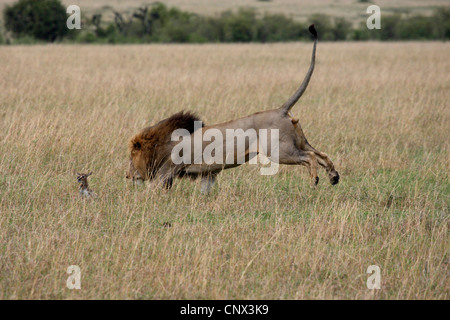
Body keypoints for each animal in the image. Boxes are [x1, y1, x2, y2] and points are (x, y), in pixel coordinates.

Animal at [125, 25, 338, 194]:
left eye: (131, 158)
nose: (127, 176)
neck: (161, 145)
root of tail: (281, 109)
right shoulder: (208, 173)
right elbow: (206, 190)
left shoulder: (166, 171)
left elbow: (152, 191)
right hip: (299, 142)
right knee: (322, 154)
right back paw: (334, 176)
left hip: (279, 150)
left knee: (310, 157)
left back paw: (315, 180)